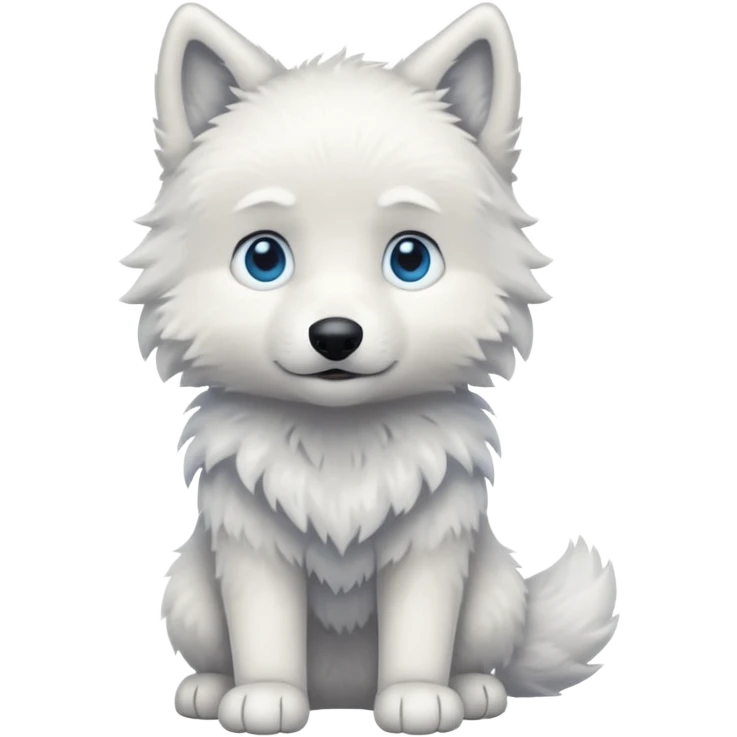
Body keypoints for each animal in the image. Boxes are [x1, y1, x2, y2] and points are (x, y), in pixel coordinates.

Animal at [124, 2, 619, 734]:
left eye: (409, 258)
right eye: (264, 258)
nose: (335, 335)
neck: (341, 444)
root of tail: (341, 692)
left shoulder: (431, 543)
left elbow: (420, 629)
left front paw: (418, 698)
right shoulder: (252, 544)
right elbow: (263, 629)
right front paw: (264, 697)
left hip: (494, 590)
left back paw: (474, 690)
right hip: (187, 589)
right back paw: (210, 690)